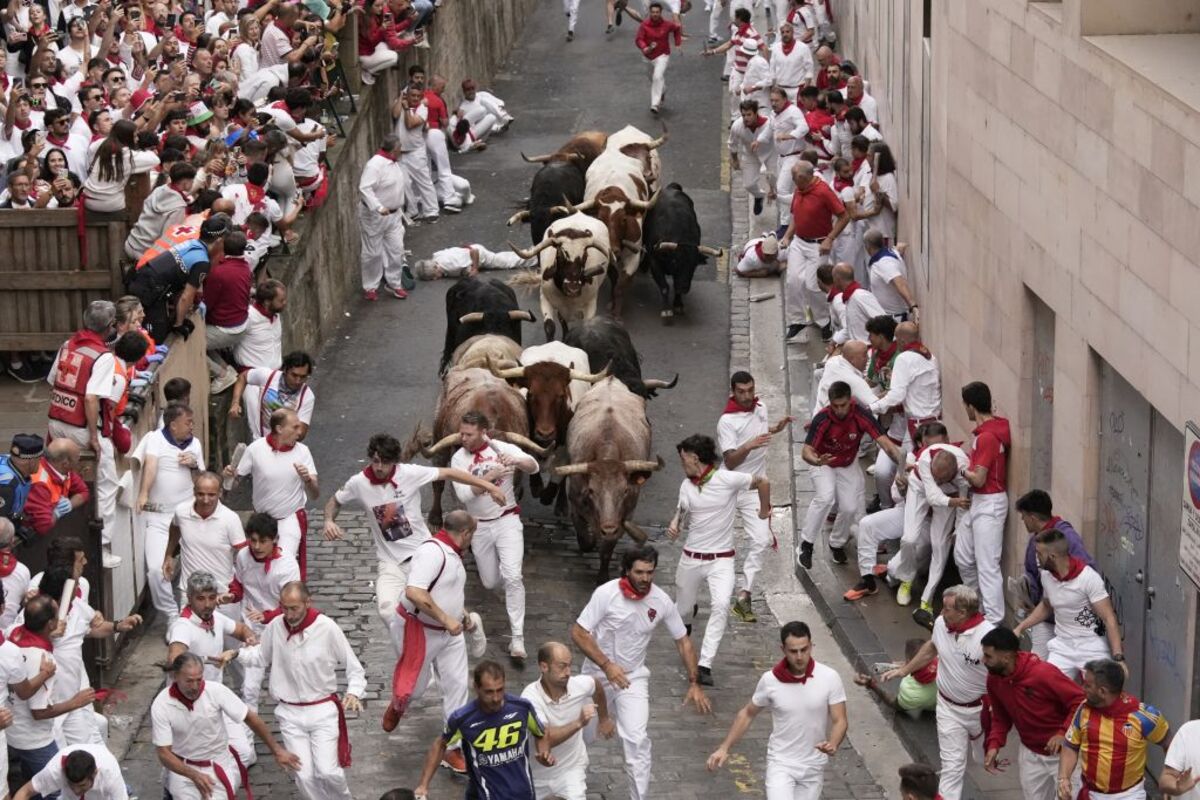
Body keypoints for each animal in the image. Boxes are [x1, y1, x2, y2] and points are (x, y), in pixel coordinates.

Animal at [554, 376, 667, 582]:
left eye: (625, 490)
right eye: (591, 491)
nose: (607, 528)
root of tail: (611, 379)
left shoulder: (624, 516)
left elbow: (607, 548)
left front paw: (602, 577)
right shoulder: (577, 507)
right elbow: (585, 539)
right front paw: (592, 539)